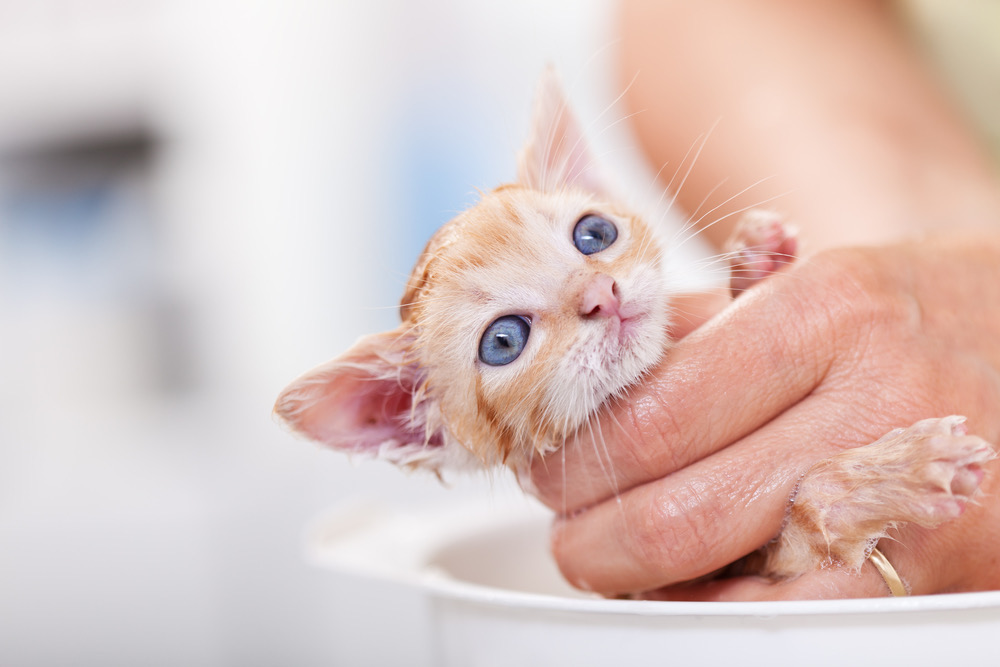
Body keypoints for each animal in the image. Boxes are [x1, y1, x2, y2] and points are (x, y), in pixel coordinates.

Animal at [274, 70, 992, 588]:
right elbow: (810, 517)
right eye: (503, 342)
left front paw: (759, 262)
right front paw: (894, 476)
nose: (601, 295)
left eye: (594, 234)